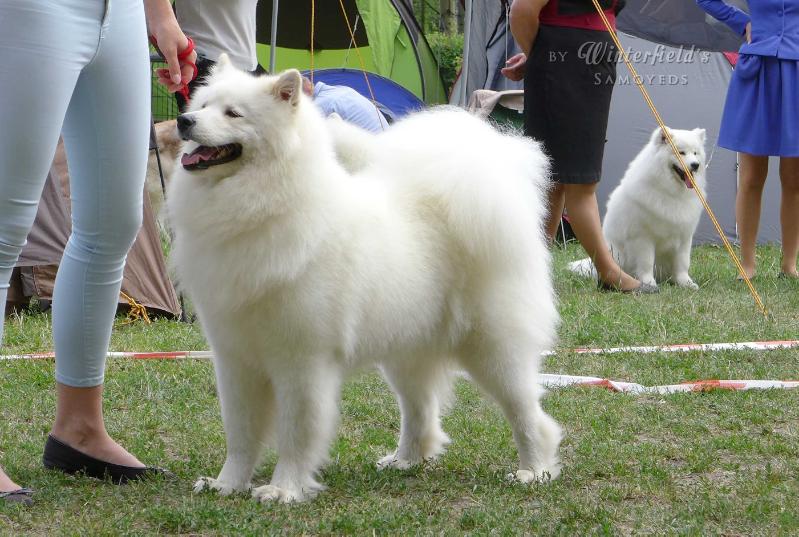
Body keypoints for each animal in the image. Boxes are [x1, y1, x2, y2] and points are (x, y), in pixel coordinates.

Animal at [166, 57, 560, 502]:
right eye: (203, 105)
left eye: (233, 113)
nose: (183, 120)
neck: (264, 204)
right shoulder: (235, 358)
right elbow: (240, 433)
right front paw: (227, 485)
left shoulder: (301, 361)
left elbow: (295, 434)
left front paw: (284, 489)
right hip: (407, 351)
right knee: (420, 410)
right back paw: (407, 460)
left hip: (492, 349)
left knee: (526, 412)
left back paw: (534, 471)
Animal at [568, 126, 708, 288]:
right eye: (681, 152)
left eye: (695, 153)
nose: (695, 165)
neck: (670, 191)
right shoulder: (643, 237)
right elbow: (646, 262)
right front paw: (649, 283)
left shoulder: (684, 237)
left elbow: (683, 263)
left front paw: (686, 283)